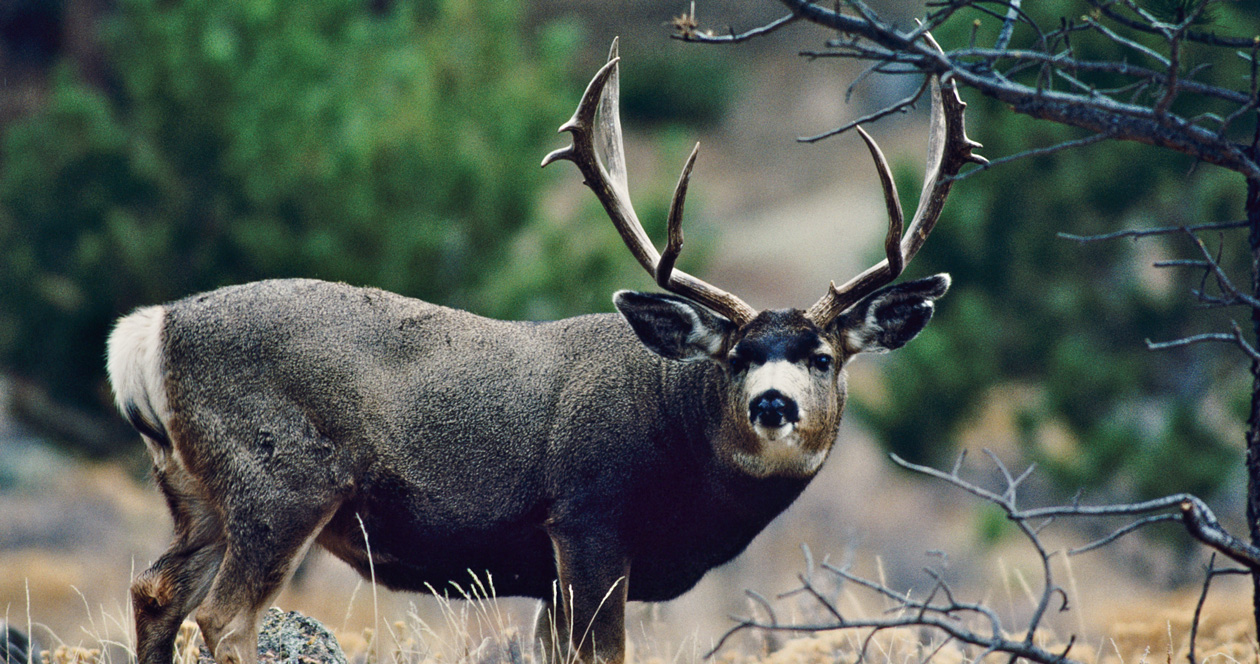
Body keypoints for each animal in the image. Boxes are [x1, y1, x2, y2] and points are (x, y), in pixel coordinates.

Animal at [106, 40, 983, 664]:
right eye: (734, 356)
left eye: (823, 357)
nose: (773, 402)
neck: (683, 452)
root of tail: (150, 329)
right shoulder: (586, 519)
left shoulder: (545, 574)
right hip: (282, 478)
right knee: (223, 618)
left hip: (197, 489)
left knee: (154, 589)